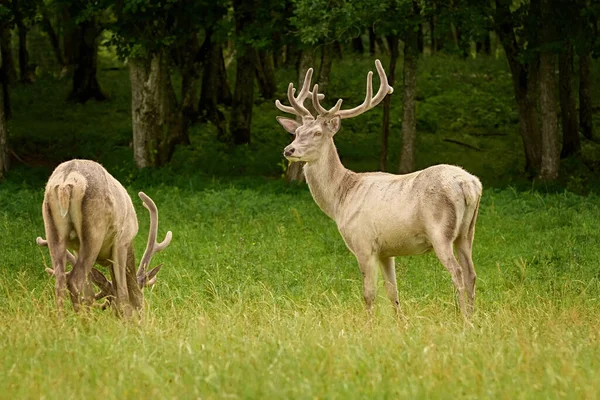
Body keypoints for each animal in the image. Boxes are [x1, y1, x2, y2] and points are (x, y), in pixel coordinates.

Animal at [37, 159, 171, 316]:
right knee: (74, 281)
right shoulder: (122, 241)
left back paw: (64, 319)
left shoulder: (76, 249)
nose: (141, 319)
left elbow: (89, 292)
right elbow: (123, 291)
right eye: (141, 308)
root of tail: (67, 180)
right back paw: (81, 320)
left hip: (53, 230)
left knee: (61, 281)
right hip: (94, 232)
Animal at [276, 59, 482, 318]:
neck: (340, 199)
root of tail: (468, 184)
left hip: (440, 231)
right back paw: (474, 317)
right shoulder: (386, 250)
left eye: (317, 133)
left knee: (458, 272)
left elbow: (369, 294)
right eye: (296, 132)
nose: (289, 150)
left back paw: (463, 318)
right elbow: (393, 292)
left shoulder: (363, 243)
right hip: (467, 231)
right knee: (471, 273)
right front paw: (401, 322)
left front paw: (369, 323)